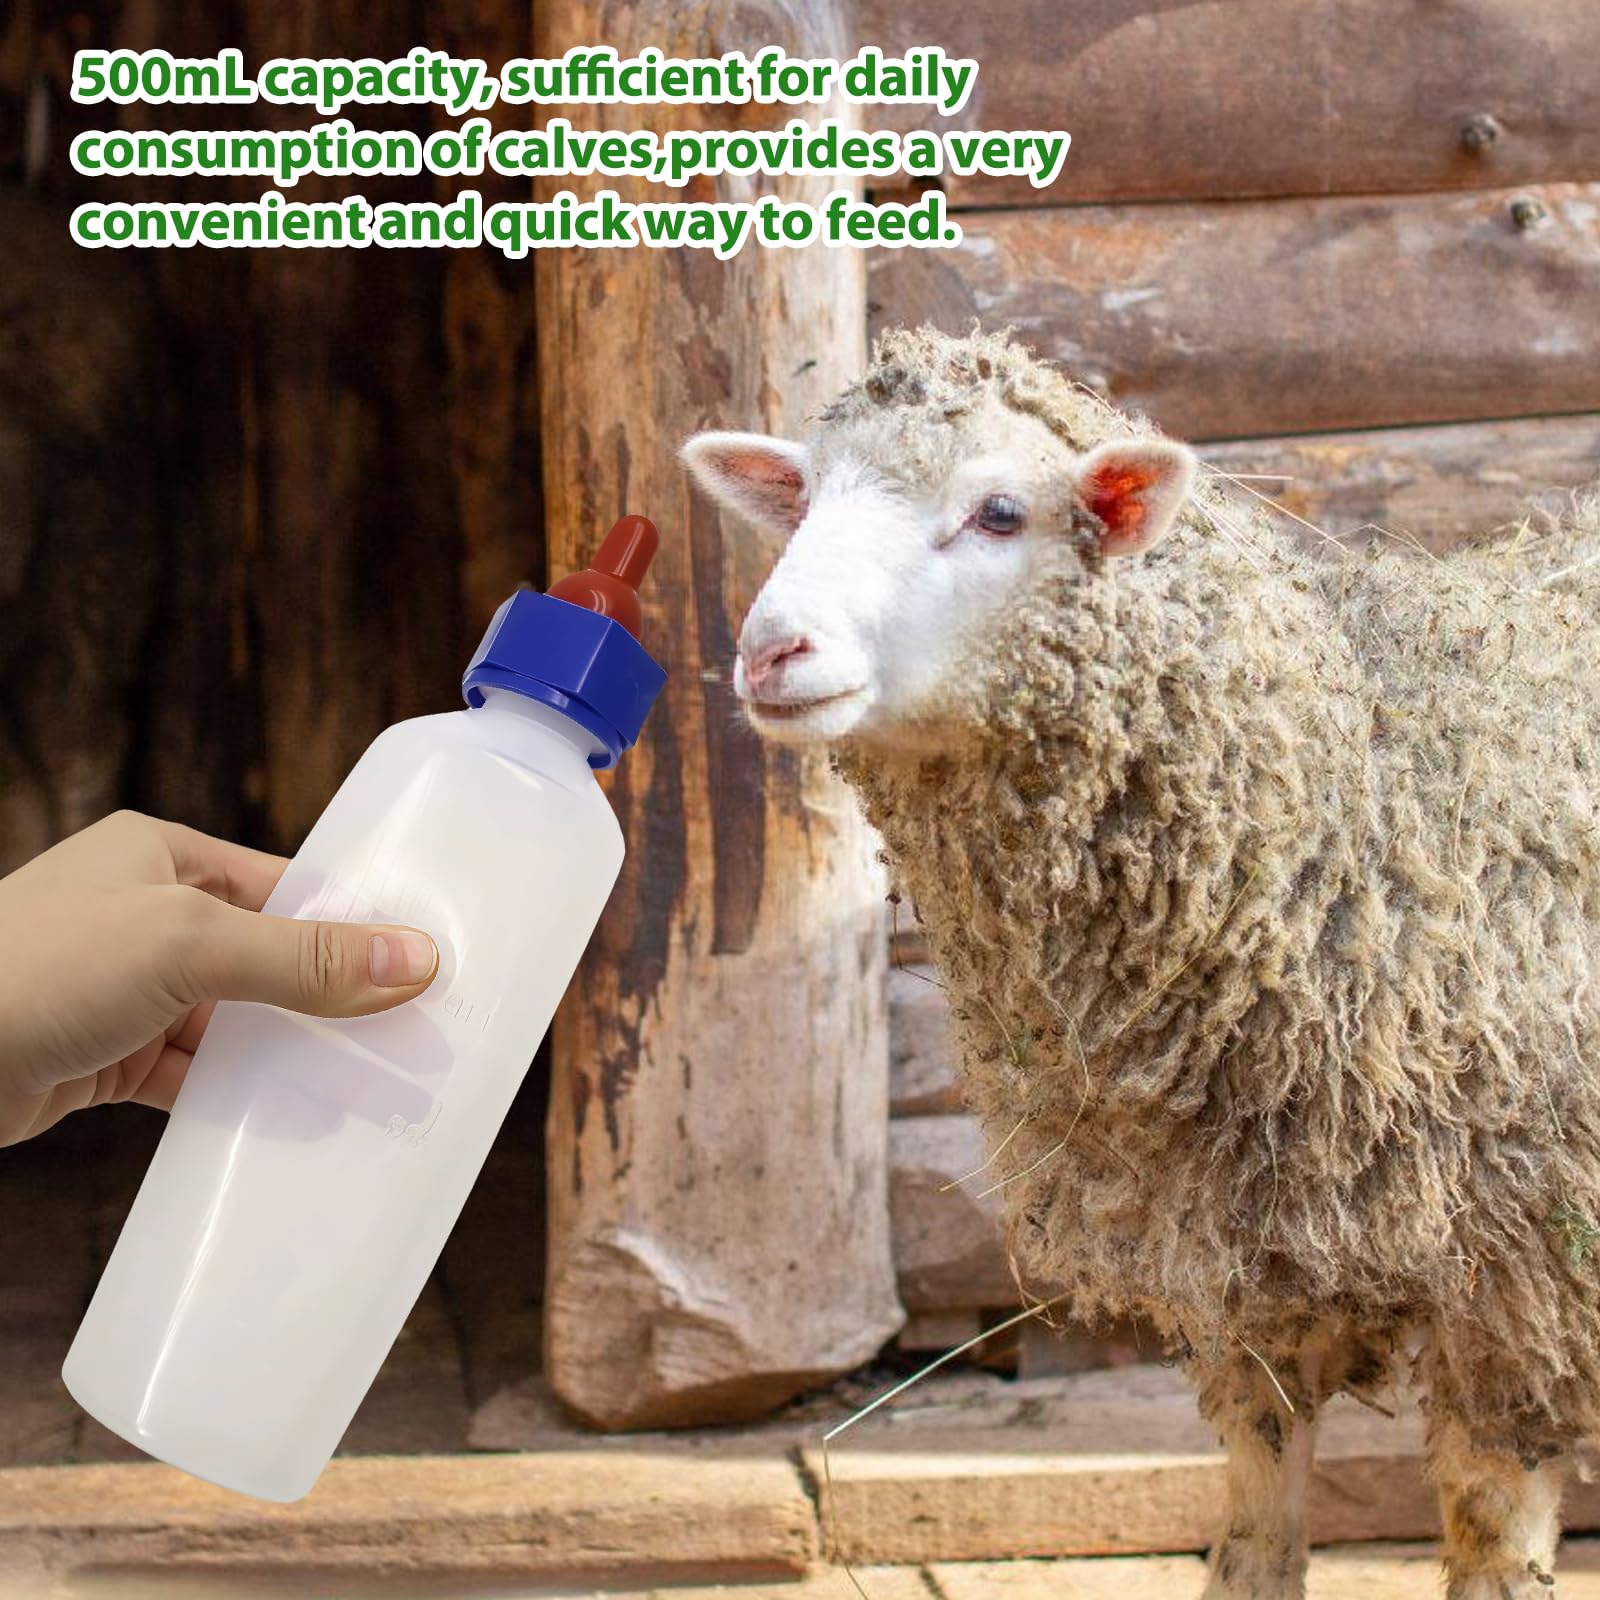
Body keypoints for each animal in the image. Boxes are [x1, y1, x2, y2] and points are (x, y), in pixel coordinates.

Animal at [683, 325, 1600, 1600]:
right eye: (804, 499)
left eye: (1000, 511)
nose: (773, 652)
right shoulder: (1241, 1260)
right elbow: (1258, 1509)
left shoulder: (1518, 1273)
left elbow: (1488, 1527)